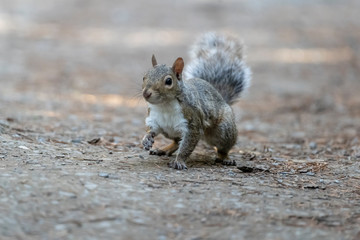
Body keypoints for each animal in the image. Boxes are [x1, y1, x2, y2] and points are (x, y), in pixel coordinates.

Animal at [141, 32, 250, 171]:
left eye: (169, 81)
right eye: (144, 77)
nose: (146, 93)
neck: (164, 105)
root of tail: (221, 98)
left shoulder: (192, 123)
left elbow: (186, 146)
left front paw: (179, 161)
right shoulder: (154, 118)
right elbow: (153, 129)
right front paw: (147, 139)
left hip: (224, 130)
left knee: (223, 148)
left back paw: (226, 158)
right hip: (169, 131)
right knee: (176, 142)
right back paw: (163, 149)